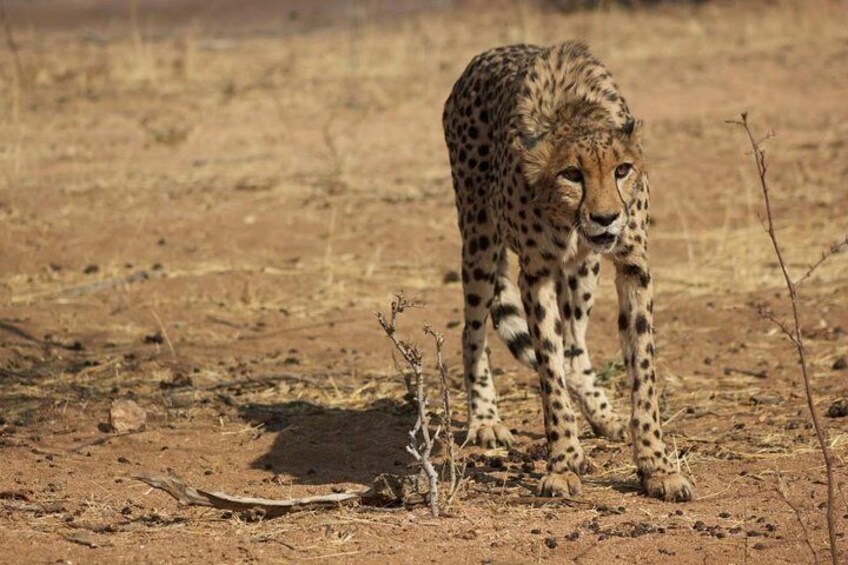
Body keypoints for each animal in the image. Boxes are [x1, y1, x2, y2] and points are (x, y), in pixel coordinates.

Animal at [440, 43, 692, 502]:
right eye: (571, 174)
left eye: (622, 170)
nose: (606, 218)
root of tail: (487, 55)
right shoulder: (535, 273)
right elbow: (549, 372)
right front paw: (563, 462)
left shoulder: (633, 266)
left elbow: (642, 370)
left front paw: (656, 464)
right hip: (480, 237)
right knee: (474, 330)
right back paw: (485, 419)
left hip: (584, 268)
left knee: (574, 342)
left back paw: (602, 413)